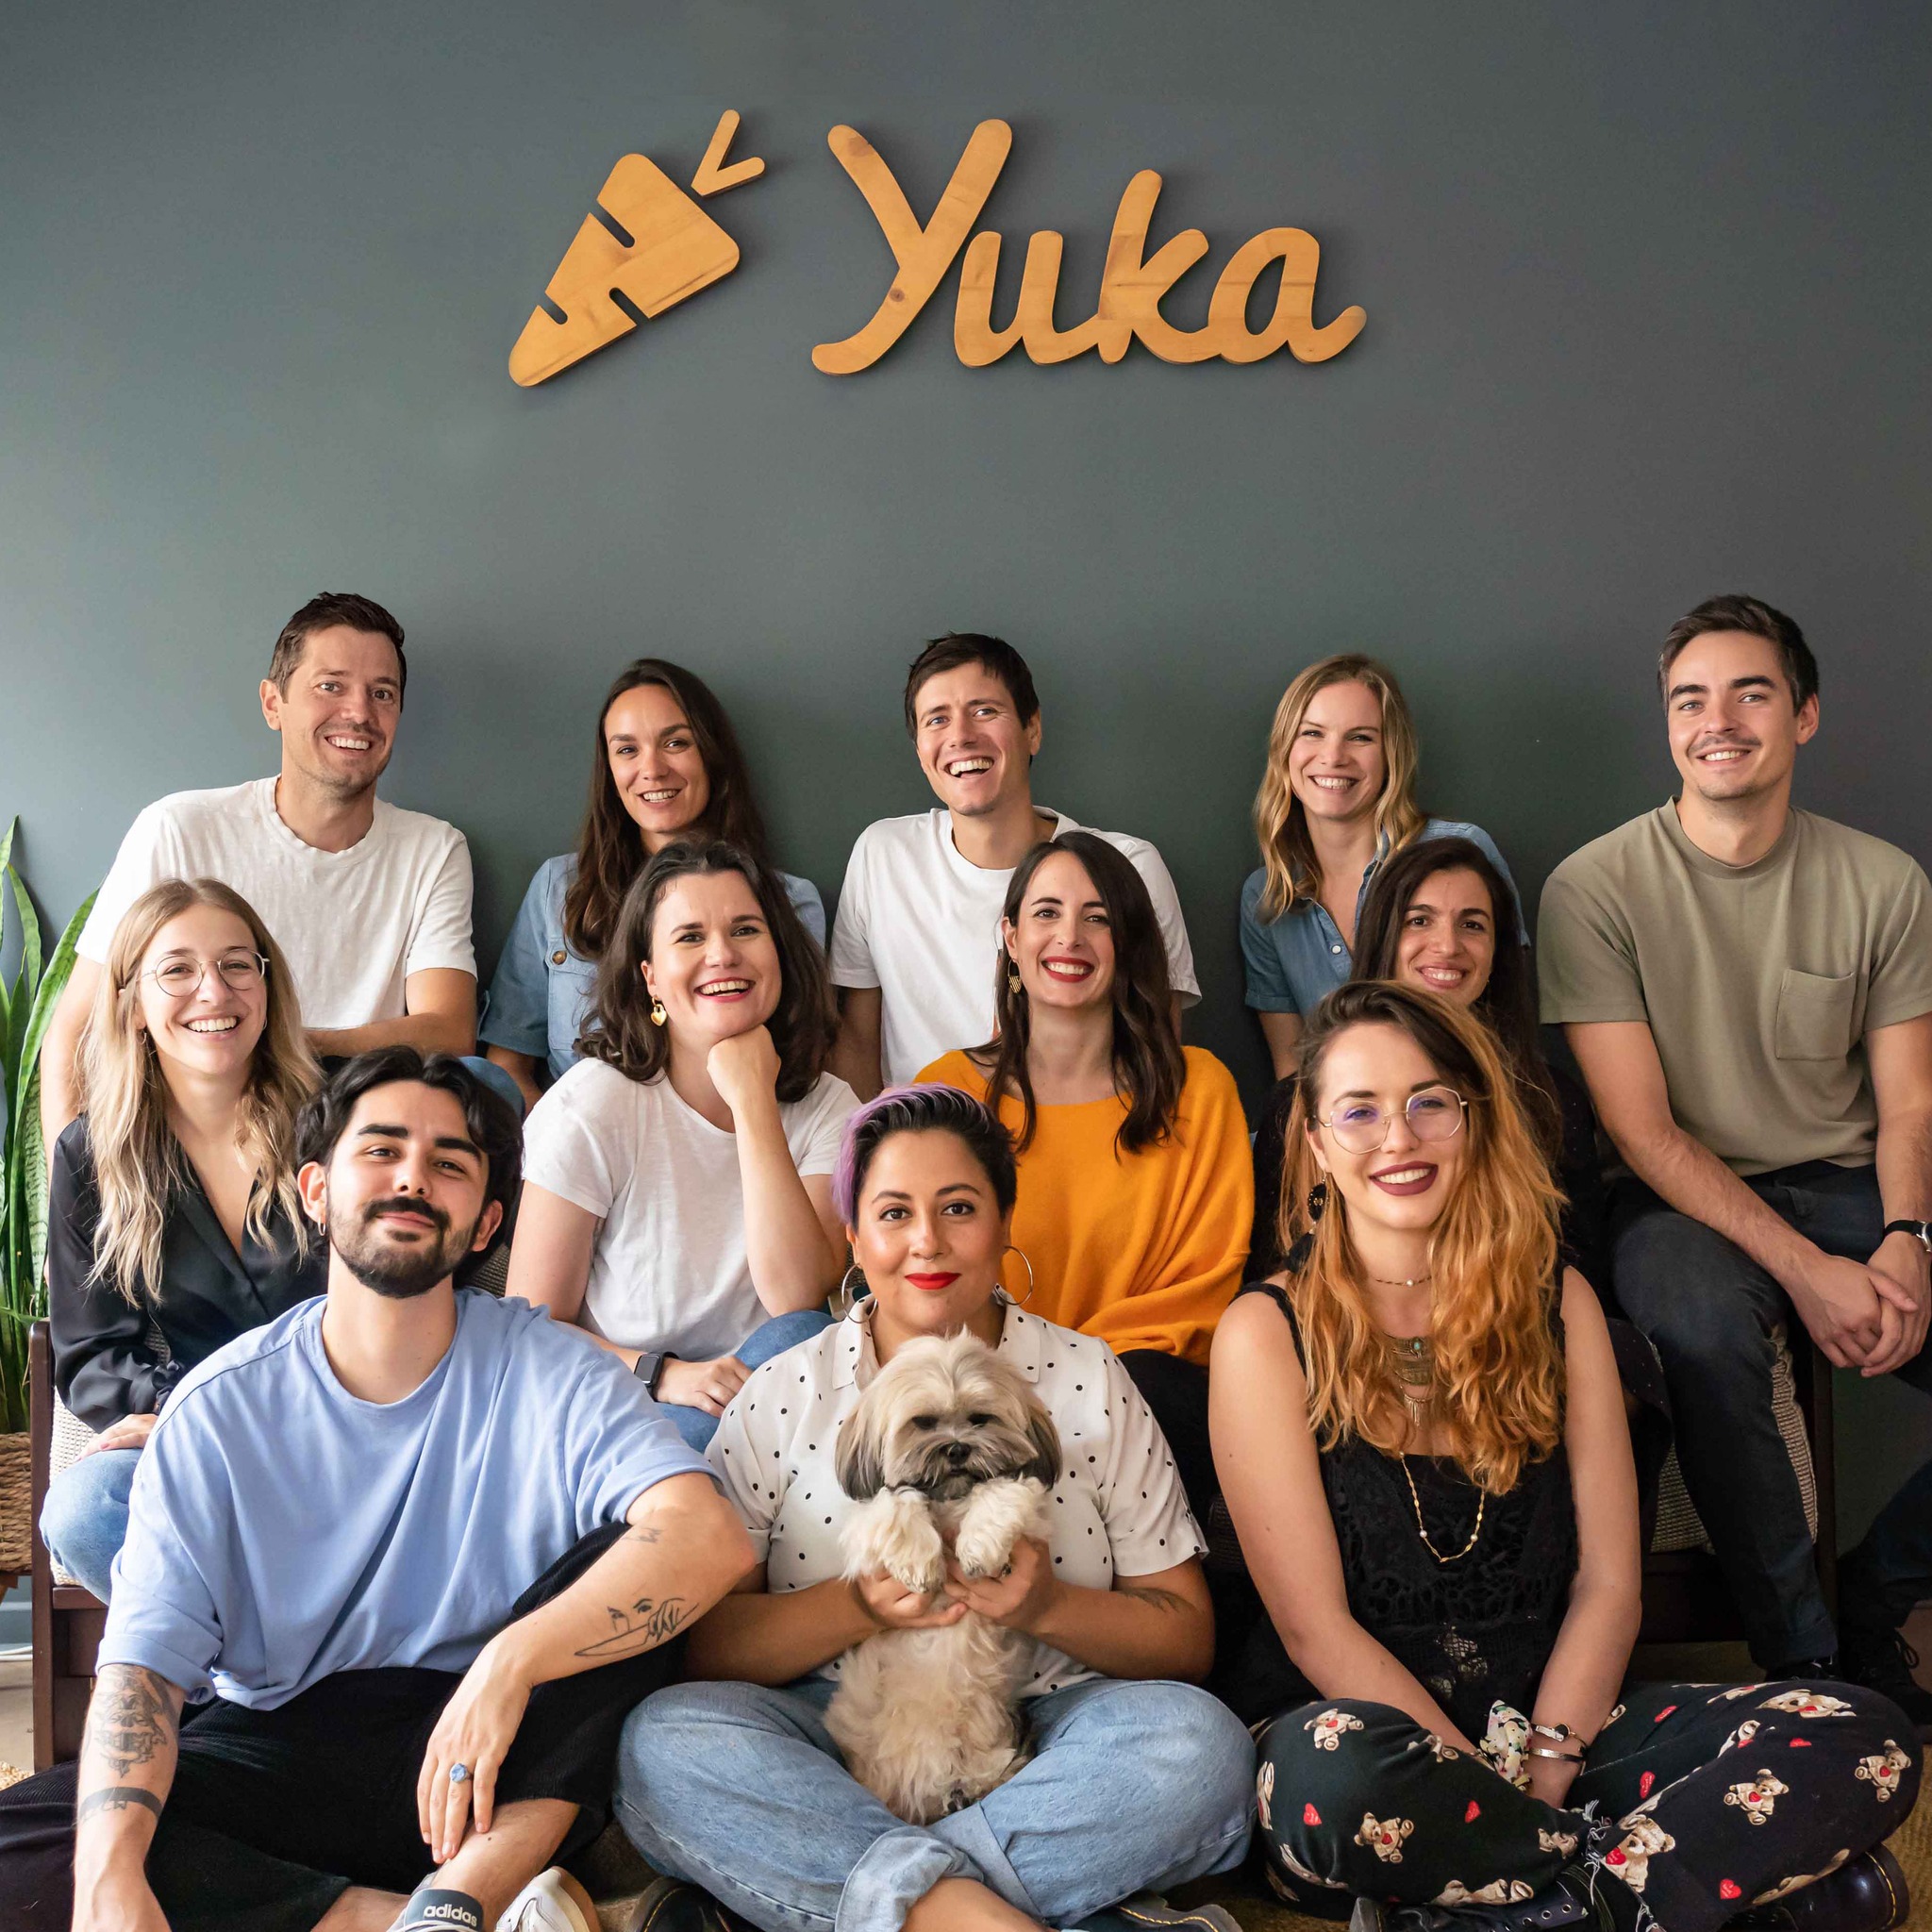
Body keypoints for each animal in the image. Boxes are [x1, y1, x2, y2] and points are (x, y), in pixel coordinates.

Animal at [826, 1330, 1061, 1824]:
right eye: (924, 1422)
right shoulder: (868, 1519)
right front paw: (922, 1563)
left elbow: (1001, 1490)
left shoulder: (1025, 1504)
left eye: (980, 1419)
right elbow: (896, 1502)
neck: (950, 1498)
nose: (956, 1448)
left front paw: (978, 1549)